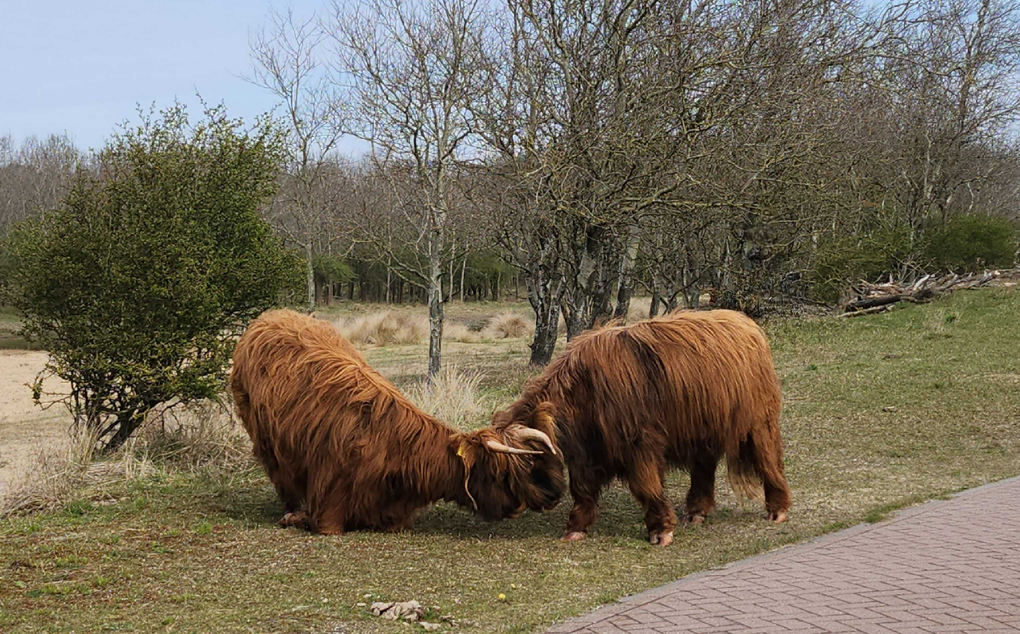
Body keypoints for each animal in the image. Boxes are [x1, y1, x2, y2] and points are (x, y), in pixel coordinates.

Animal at [232, 309, 567, 534]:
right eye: (499, 473)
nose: (519, 508)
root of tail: (270, 316)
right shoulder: (327, 510)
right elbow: (314, 518)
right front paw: (292, 517)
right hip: (263, 436)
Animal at [493, 309, 787, 550]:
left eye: (527, 463)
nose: (511, 510)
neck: (583, 394)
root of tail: (745, 323)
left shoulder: (640, 445)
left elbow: (647, 486)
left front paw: (661, 531)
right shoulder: (586, 453)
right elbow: (583, 490)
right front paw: (575, 529)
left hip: (758, 423)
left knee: (767, 458)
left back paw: (778, 510)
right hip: (701, 431)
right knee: (703, 469)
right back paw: (696, 513)